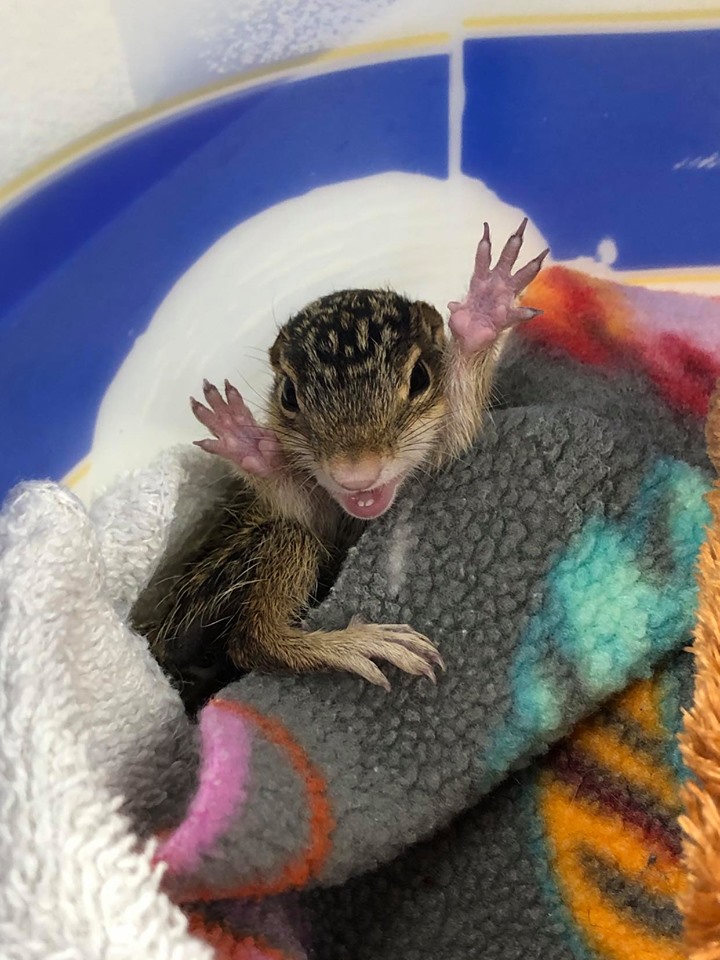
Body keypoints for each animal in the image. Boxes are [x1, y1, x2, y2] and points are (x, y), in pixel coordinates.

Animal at [136, 221, 548, 707]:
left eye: (420, 378)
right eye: (288, 396)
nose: (356, 474)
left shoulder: (444, 453)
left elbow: (460, 421)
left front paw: (484, 310)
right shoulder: (321, 521)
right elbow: (304, 510)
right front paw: (252, 447)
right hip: (264, 551)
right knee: (252, 639)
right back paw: (359, 644)